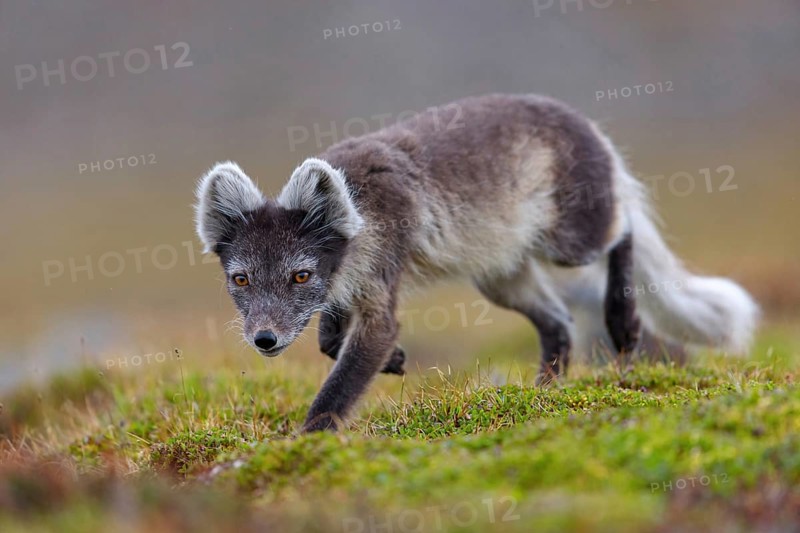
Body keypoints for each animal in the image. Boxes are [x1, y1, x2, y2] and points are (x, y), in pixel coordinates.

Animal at [194, 93, 759, 432]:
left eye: (300, 275)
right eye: (240, 279)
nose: (264, 340)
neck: (360, 209)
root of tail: (585, 122)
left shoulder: (378, 288)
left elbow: (340, 384)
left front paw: (308, 441)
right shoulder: (347, 287)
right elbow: (330, 341)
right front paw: (395, 360)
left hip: (568, 242)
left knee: (624, 231)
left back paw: (622, 323)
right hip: (501, 277)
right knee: (559, 321)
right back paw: (545, 394)